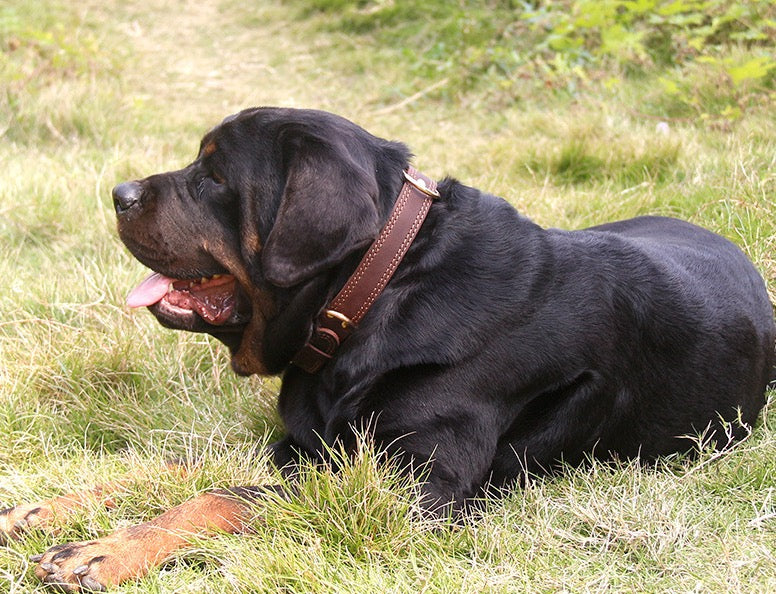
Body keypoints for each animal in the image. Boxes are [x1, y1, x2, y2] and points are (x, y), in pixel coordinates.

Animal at [12, 107, 776, 588]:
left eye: (215, 177)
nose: (119, 192)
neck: (377, 293)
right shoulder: (310, 443)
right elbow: (186, 466)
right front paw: (48, 508)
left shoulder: (412, 488)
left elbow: (226, 496)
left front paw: (104, 551)